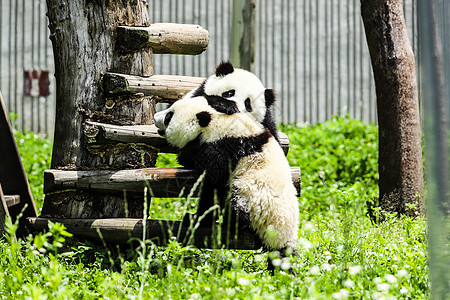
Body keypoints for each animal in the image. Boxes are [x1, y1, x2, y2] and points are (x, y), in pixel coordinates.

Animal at [155, 96, 298, 270]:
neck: (217, 121)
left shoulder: (224, 148)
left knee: (234, 206)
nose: (155, 117)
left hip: (253, 199)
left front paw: (194, 217)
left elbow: (210, 183)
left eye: (169, 116)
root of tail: (282, 236)